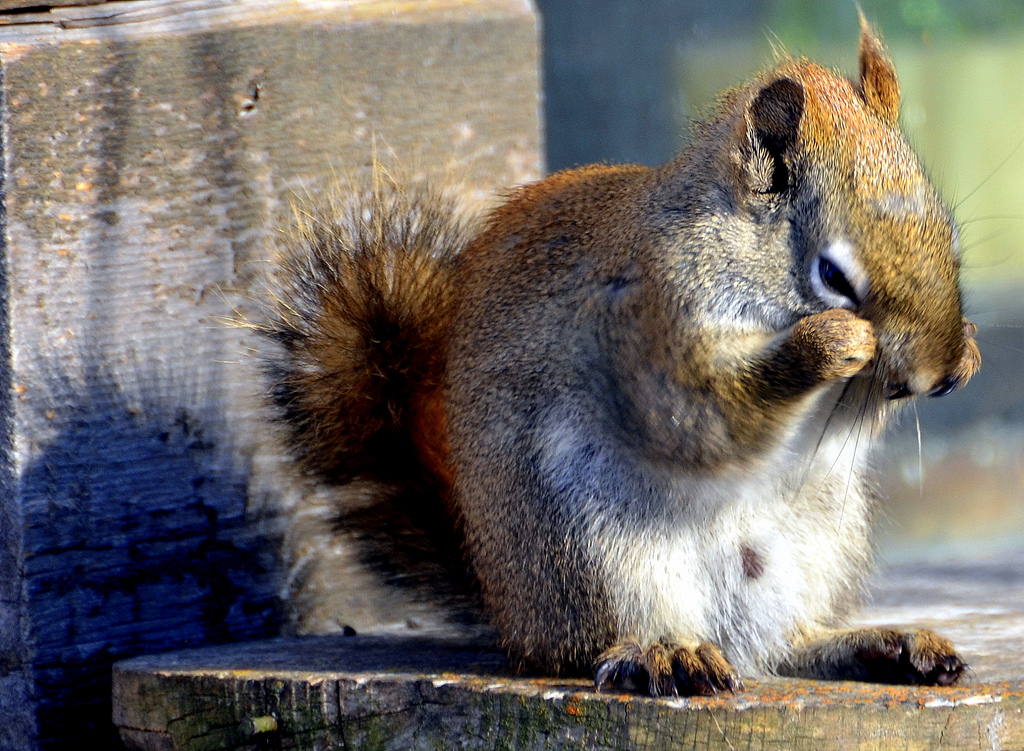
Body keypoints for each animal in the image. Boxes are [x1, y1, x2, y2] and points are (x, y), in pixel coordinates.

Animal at [256, 19, 974, 696]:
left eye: (949, 234)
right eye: (832, 274)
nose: (938, 375)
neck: (732, 248)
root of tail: (514, 619)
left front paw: (966, 346)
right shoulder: (646, 324)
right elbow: (707, 420)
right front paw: (835, 341)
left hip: (816, 540)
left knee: (779, 646)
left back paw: (879, 643)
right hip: (596, 548)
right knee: (598, 646)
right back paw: (665, 654)